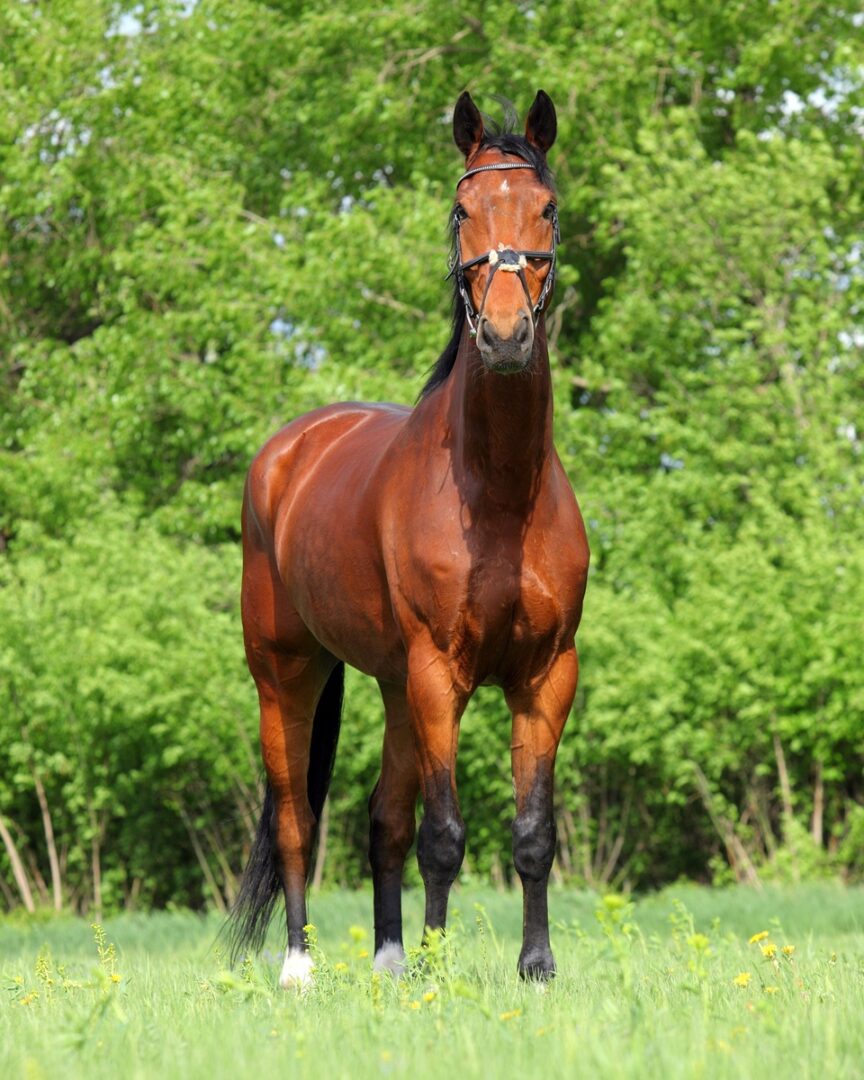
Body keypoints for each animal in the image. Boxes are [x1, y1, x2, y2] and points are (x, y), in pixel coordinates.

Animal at [227, 89, 589, 985]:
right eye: (462, 210)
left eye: (547, 208)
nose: (504, 336)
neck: (499, 495)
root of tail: (288, 451)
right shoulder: (438, 675)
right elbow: (445, 836)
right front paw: (438, 968)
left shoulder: (545, 676)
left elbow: (532, 833)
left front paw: (536, 968)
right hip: (286, 675)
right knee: (296, 819)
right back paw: (300, 966)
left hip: (393, 687)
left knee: (381, 818)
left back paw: (389, 961)